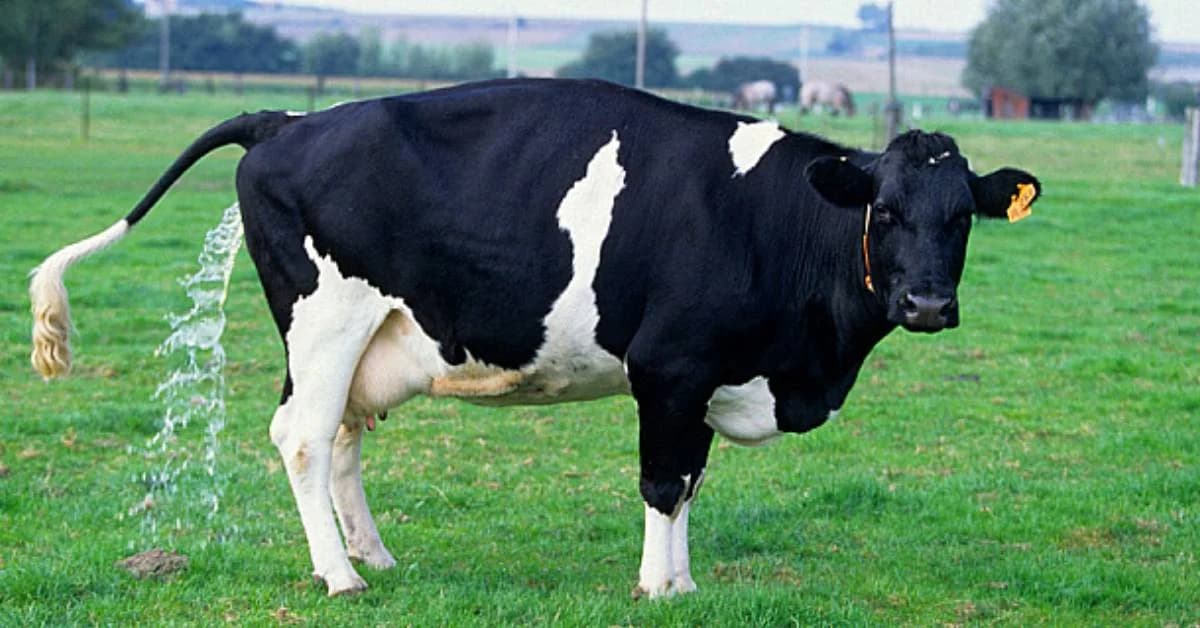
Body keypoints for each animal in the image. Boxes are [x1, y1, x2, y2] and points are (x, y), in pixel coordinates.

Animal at [30, 78, 1040, 598]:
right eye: (886, 210)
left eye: (962, 217)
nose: (926, 303)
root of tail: (289, 119)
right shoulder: (669, 368)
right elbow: (663, 482)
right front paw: (656, 590)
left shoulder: (704, 378)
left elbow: (690, 483)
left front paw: (681, 583)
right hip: (325, 320)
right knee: (304, 439)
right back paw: (340, 577)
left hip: (360, 339)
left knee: (341, 437)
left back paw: (375, 556)